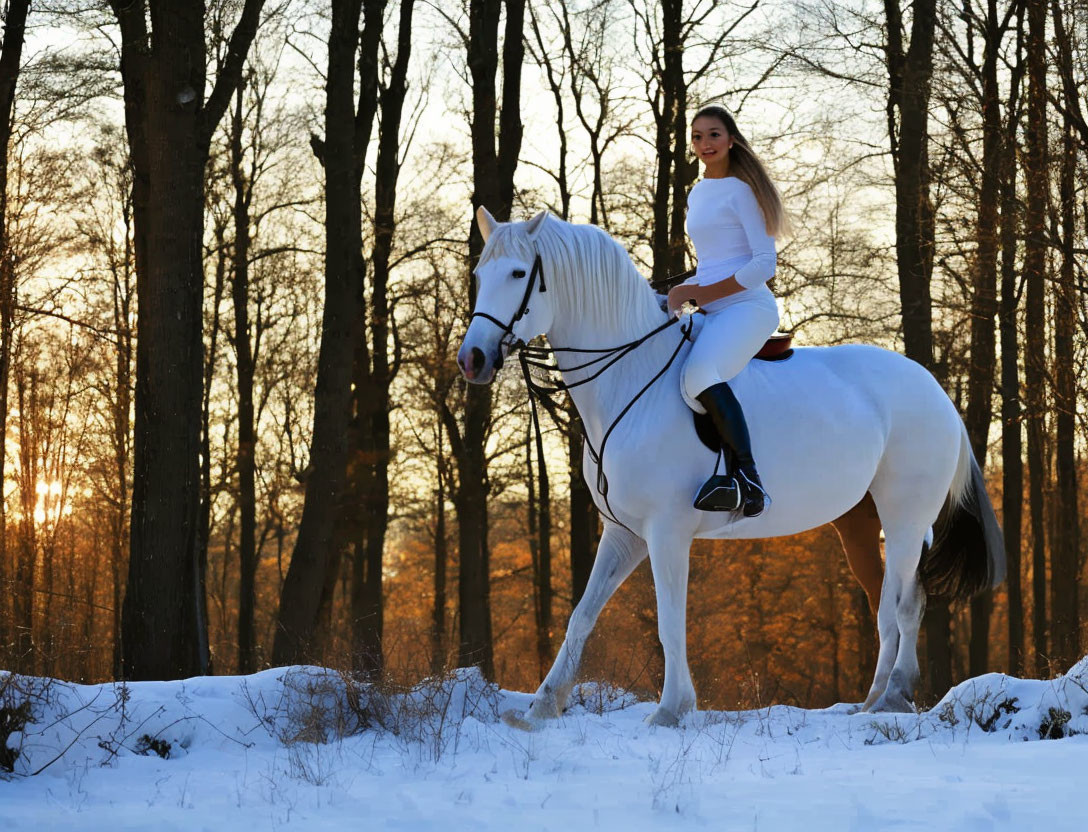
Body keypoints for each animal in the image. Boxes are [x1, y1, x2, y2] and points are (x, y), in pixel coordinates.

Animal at [456, 206, 1000, 722]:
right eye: (480, 274)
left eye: (518, 273)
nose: (472, 359)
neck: (628, 375)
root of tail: (935, 390)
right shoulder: (625, 532)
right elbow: (583, 615)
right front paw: (543, 705)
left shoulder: (667, 531)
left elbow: (669, 620)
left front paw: (672, 708)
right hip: (861, 523)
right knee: (886, 603)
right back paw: (872, 700)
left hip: (905, 515)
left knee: (906, 602)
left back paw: (894, 697)